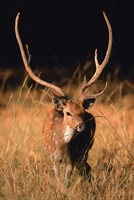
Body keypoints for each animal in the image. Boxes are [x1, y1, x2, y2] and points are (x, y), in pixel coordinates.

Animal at [15, 10, 112, 186]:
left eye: (82, 113)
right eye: (68, 113)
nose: (81, 126)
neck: (61, 147)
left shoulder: (71, 161)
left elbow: (66, 182)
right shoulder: (52, 158)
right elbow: (59, 180)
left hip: (87, 148)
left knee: (87, 169)